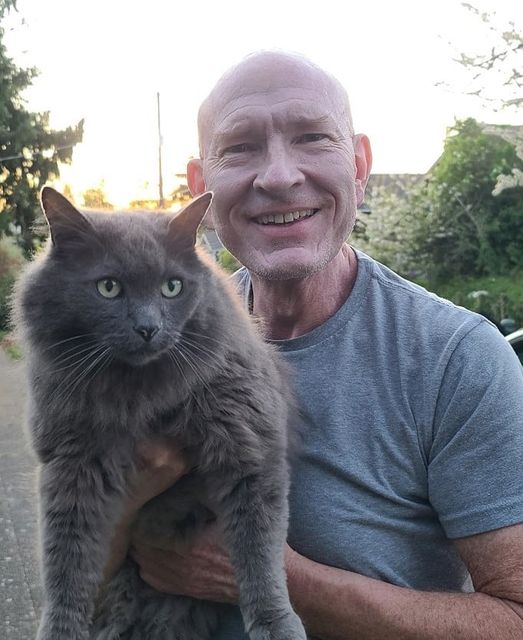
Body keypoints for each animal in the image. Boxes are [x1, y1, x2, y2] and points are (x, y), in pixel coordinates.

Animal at [13, 187, 307, 640]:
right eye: (109, 287)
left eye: (172, 287)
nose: (148, 328)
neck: (142, 393)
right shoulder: (72, 465)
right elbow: (66, 562)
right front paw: (61, 630)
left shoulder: (249, 445)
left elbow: (259, 553)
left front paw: (275, 624)